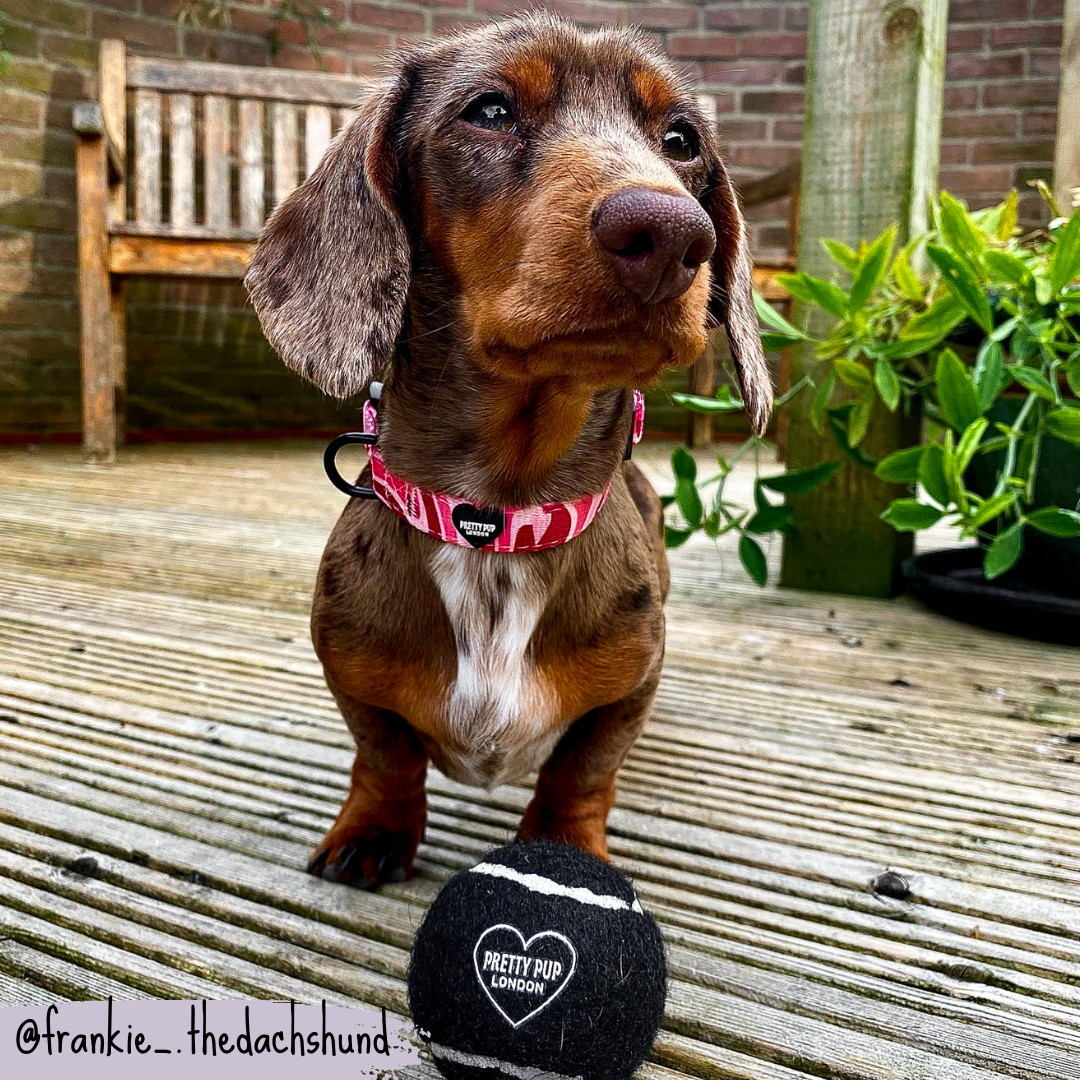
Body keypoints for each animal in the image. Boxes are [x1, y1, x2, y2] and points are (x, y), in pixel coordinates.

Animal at [247, 10, 768, 885]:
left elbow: (581, 771)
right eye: (489, 111)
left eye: (682, 138)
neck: (499, 521)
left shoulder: (630, 686)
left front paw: (563, 847)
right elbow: (385, 756)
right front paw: (373, 830)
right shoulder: (350, 671)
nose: (671, 235)